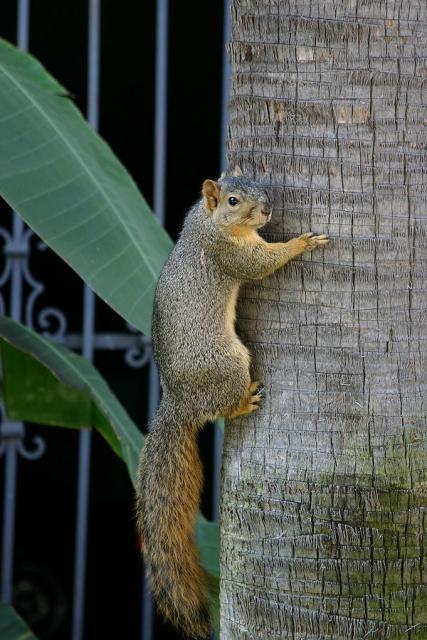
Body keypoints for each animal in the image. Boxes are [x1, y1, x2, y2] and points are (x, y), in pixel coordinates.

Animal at [135, 168, 330, 636]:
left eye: (262, 187)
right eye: (234, 201)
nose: (269, 209)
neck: (208, 224)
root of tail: (179, 403)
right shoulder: (228, 254)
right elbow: (258, 264)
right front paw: (301, 243)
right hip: (229, 362)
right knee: (220, 407)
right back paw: (243, 403)